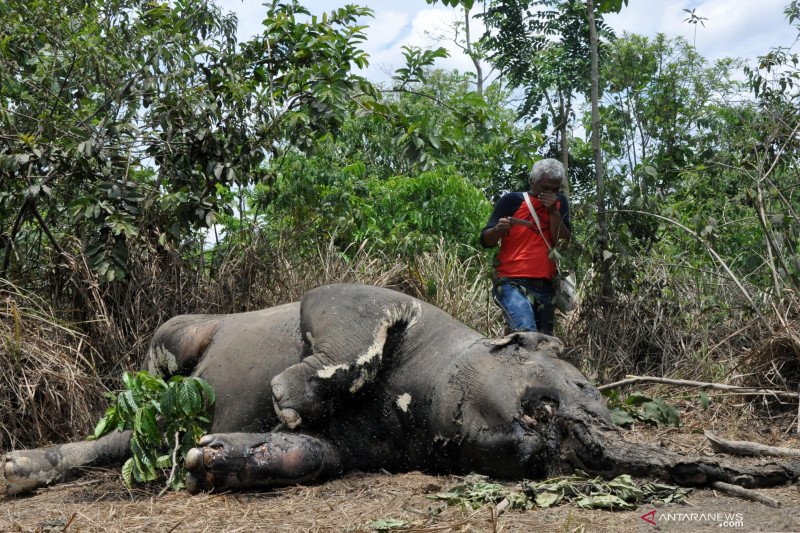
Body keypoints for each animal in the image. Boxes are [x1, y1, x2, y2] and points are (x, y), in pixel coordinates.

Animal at [3, 282, 796, 494]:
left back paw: (24, 466)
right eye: (567, 389)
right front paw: (289, 391)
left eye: (550, 458)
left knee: (110, 443)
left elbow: (310, 454)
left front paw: (224, 455)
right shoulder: (353, 300)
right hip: (177, 332)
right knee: (142, 389)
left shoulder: (356, 452)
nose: (587, 442)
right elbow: (351, 343)